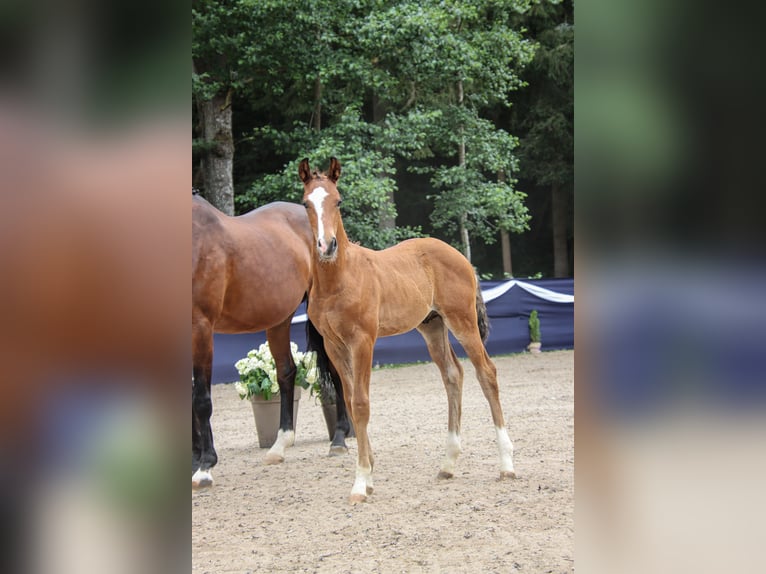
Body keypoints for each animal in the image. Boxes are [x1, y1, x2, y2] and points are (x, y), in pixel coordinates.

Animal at [192, 195, 351, 489]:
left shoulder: (201, 327)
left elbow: (200, 398)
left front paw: (205, 466)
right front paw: (194, 460)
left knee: (336, 370)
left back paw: (339, 439)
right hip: (279, 320)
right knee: (286, 371)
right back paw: (280, 444)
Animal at [298, 158, 516, 503]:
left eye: (338, 201)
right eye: (306, 203)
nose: (326, 245)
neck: (340, 279)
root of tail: (460, 257)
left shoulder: (363, 341)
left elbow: (361, 404)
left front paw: (361, 482)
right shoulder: (334, 345)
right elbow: (349, 401)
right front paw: (368, 472)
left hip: (462, 321)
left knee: (487, 372)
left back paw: (506, 464)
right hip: (433, 326)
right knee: (453, 375)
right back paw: (448, 464)